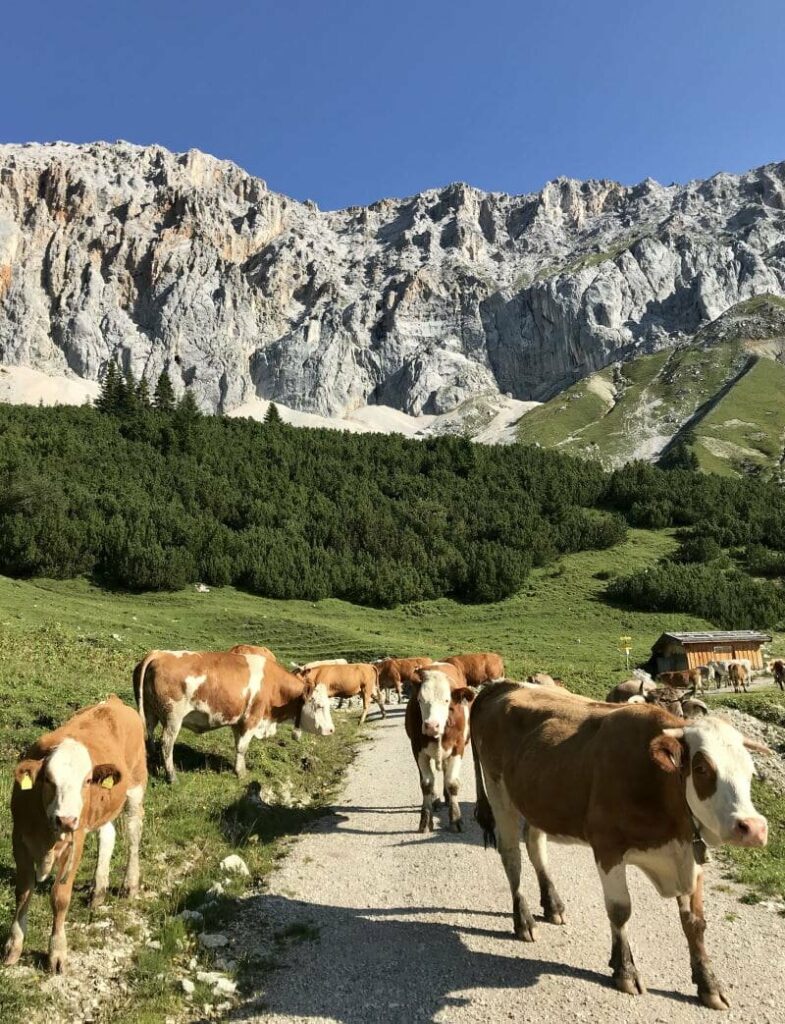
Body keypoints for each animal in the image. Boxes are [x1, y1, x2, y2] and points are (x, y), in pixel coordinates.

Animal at [4, 696, 147, 974]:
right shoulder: (20, 839)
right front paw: (13, 947)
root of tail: (114, 701)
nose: (67, 819)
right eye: (48, 779)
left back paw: (130, 884)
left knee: (134, 834)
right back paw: (99, 889)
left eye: (87, 780)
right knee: (108, 833)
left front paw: (56, 952)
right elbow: (23, 892)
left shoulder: (75, 841)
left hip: (136, 786)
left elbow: (60, 897)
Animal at [133, 647, 333, 782]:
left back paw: (153, 762)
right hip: (173, 718)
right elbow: (243, 747)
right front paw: (241, 773)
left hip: (151, 713)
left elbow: (238, 746)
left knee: (149, 735)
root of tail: (160, 653)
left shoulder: (239, 721)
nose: (331, 730)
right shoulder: (252, 719)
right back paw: (172, 776)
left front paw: (238, 769)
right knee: (166, 744)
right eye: (320, 706)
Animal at [405, 663, 472, 831]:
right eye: (420, 699)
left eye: (447, 700)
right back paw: (435, 800)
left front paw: (455, 818)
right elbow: (427, 783)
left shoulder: (458, 747)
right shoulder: (417, 748)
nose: (431, 725)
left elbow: (452, 782)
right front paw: (425, 819)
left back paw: (447, 798)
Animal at [470, 684, 769, 1011]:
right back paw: (523, 919)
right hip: (499, 792)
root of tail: (503, 685)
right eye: (702, 767)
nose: (753, 827)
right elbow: (619, 910)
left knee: (536, 846)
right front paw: (625, 970)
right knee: (512, 855)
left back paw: (552, 905)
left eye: (751, 771)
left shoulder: (690, 853)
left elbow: (695, 922)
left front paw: (709, 984)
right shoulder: (608, 847)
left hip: (538, 800)